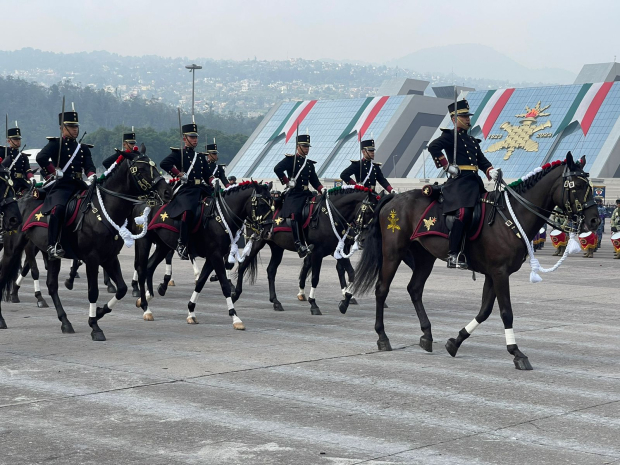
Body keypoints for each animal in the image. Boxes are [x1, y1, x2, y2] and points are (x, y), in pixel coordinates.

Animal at [1, 150, 171, 338]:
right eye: (140, 170)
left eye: (154, 166)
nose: (167, 191)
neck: (105, 211)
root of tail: (19, 201)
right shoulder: (92, 258)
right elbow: (93, 292)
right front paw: (95, 326)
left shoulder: (110, 258)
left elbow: (121, 289)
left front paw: (99, 312)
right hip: (14, 249)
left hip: (50, 255)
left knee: (52, 286)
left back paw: (65, 321)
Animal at [134, 179, 272, 328]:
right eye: (262, 204)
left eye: (273, 205)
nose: (268, 232)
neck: (221, 217)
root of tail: (143, 202)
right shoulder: (215, 256)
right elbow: (224, 285)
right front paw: (235, 317)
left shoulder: (212, 258)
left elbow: (200, 282)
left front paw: (191, 312)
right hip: (144, 241)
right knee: (142, 270)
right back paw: (146, 307)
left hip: (163, 246)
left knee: (149, 267)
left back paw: (147, 297)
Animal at [232, 187, 378, 314]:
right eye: (369, 212)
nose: (365, 238)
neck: (330, 215)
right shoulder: (318, 252)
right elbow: (315, 277)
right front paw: (313, 303)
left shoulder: (337, 252)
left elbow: (351, 273)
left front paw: (345, 301)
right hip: (257, 243)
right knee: (242, 265)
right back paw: (235, 294)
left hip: (277, 247)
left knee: (271, 271)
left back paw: (275, 301)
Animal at [354, 152, 600, 370]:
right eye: (576, 187)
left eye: (590, 185)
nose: (594, 220)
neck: (510, 217)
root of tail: (395, 197)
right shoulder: (499, 273)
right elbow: (506, 312)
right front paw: (516, 353)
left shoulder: (493, 273)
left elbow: (484, 311)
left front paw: (455, 342)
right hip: (392, 253)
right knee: (382, 289)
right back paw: (382, 336)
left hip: (425, 256)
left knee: (414, 289)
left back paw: (427, 334)